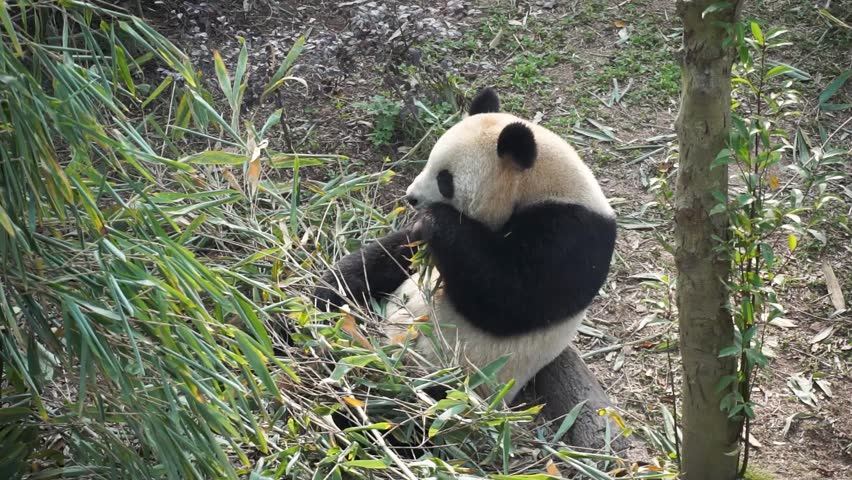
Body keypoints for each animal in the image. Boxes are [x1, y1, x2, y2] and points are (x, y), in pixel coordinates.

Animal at [315, 88, 616, 404]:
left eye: (445, 180)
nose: (411, 197)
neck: (539, 184)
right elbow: (399, 252)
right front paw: (333, 284)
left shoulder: (572, 236)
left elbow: (509, 299)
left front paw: (437, 219)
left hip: (459, 379)